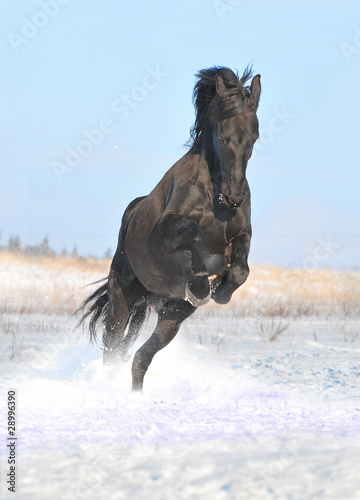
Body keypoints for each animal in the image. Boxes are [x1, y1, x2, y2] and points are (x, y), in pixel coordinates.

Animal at [76, 65, 262, 390]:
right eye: (223, 136)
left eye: (254, 136)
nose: (235, 197)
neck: (214, 198)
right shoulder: (167, 232)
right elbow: (192, 232)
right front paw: (200, 285)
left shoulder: (241, 236)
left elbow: (241, 269)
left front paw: (221, 289)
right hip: (122, 300)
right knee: (112, 349)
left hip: (171, 314)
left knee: (139, 357)